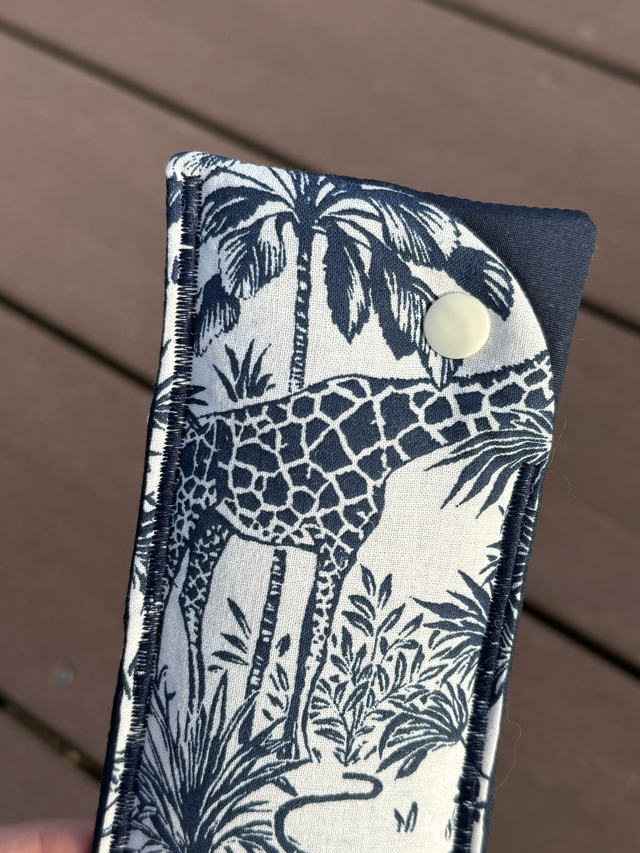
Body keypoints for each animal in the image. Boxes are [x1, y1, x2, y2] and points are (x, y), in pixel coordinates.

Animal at [167, 350, 553, 757]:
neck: (392, 441)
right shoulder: (336, 542)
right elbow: (314, 646)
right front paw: (297, 747)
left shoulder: (343, 546)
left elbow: (311, 643)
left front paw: (289, 742)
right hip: (188, 507)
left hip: (216, 524)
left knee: (192, 597)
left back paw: (196, 712)